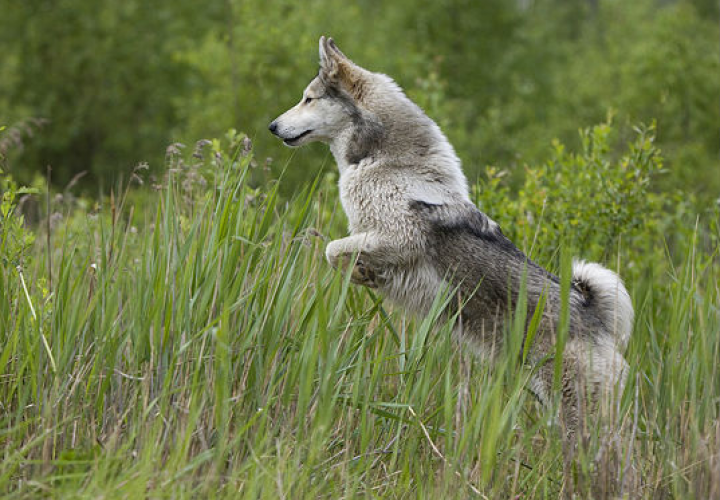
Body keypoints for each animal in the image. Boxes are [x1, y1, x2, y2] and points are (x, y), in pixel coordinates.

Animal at [268, 36, 632, 434]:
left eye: (308, 99)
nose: (271, 126)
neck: (383, 161)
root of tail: (593, 312)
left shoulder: (398, 237)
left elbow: (332, 249)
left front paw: (362, 272)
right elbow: (338, 254)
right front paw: (364, 274)